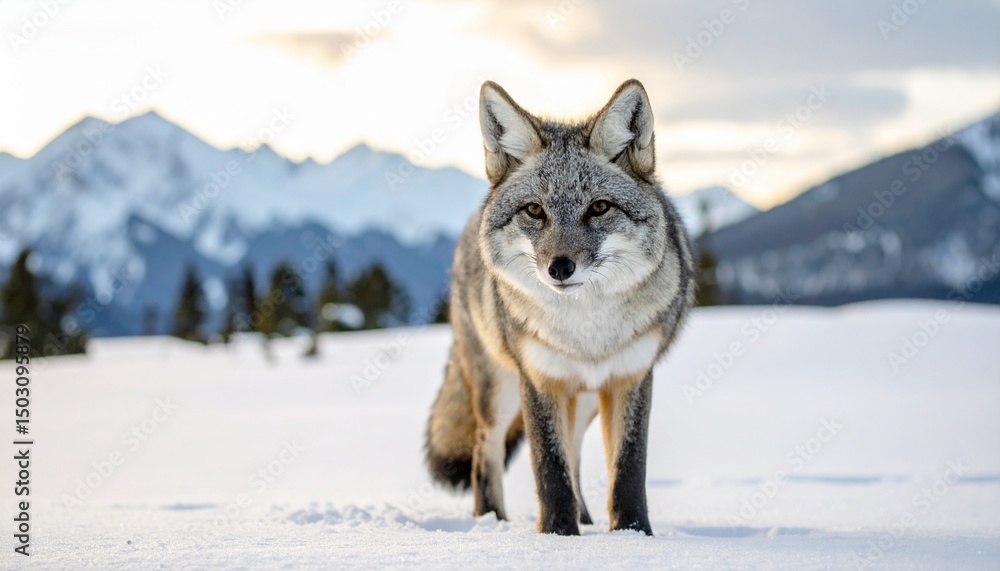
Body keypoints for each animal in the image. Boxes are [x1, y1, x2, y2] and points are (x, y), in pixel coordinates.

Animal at [425, 79, 694, 536]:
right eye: (535, 210)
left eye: (599, 207)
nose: (560, 268)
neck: (587, 335)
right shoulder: (540, 379)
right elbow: (549, 468)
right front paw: (556, 535)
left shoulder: (631, 376)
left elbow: (627, 469)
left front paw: (633, 534)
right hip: (500, 393)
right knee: (484, 449)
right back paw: (491, 520)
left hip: (583, 401)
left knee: (577, 454)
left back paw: (585, 518)